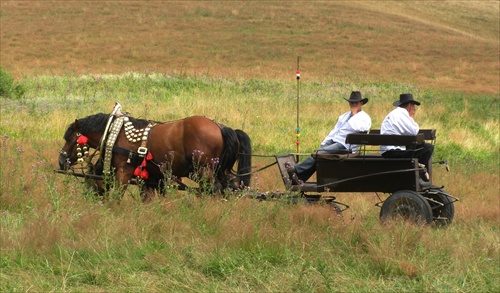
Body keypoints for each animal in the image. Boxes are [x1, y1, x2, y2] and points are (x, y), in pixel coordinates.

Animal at [58, 110, 252, 197]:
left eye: (69, 138)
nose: (61, 161)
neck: (116, 133)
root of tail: (220, 127)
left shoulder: (124, 173)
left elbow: (117, 197)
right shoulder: (151, 178)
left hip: (205, 170)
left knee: (214, 191)